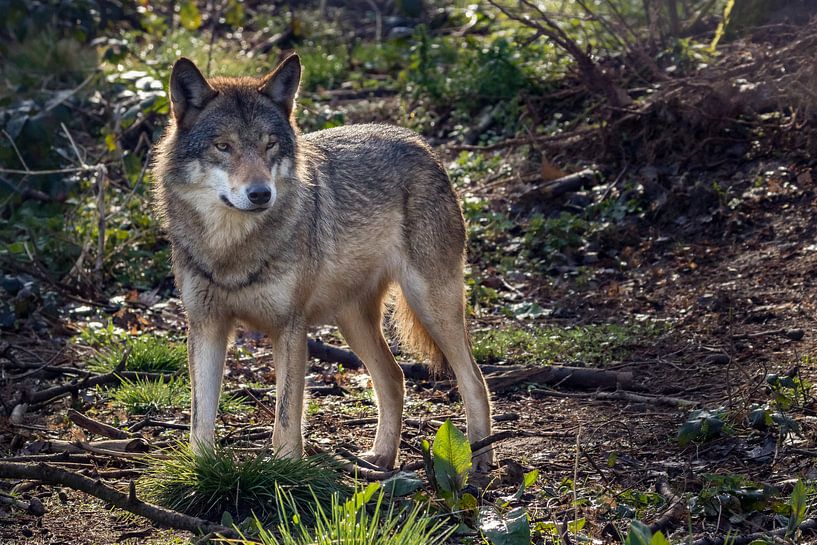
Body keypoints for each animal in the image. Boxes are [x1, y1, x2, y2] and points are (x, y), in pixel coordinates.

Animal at [153, 53, 494, 469]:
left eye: (270, 145)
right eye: (223, 146)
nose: (261, 193)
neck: (231, 250)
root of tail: (421, 144)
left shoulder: (290, 327)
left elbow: (286, 417)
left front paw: (285, 473)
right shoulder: (206, 325)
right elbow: (201, 417)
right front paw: (202, 471)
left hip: (431, 306)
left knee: (473, 379)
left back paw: (480, 459)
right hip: (353, 321)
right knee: (395, 377)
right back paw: (381, 458)